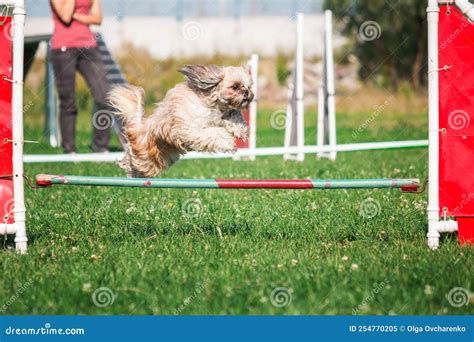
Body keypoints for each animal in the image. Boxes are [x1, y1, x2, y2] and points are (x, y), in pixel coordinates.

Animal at [109, 64, 254, 178]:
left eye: (249, 86)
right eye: (235, 86)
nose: (247, 93)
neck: (212, 105)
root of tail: (140, 128)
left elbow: (233, 114)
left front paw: (240, 129)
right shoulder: (191, 130)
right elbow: (214, 134)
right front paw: (228, 142)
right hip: (146, 157)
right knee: (133, 160)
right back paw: (124, 164)